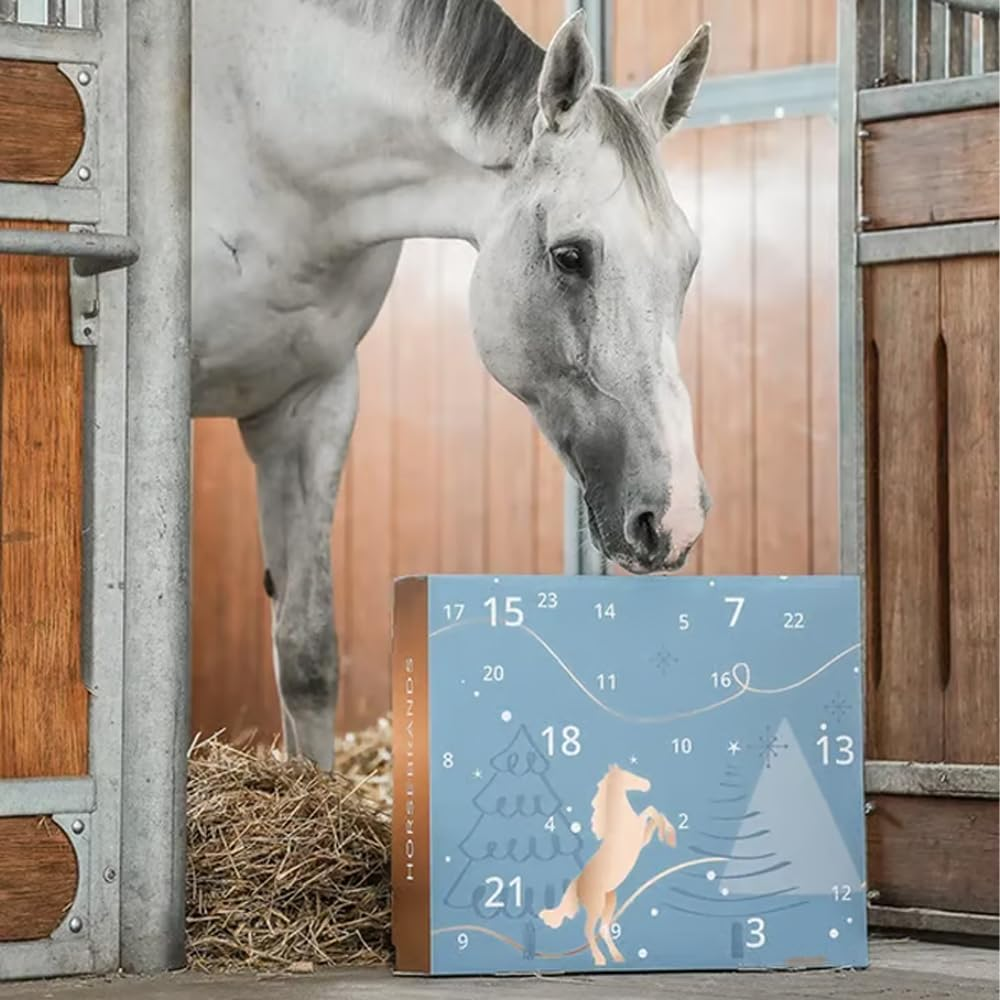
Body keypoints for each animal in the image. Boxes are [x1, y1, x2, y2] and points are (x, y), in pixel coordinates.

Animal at [191, 0, 712, 768]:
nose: (676, 518)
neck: (261, 137)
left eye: (688, 264)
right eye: (569, 255)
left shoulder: (310, 403)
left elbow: (306, 650)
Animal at [539, 764, 675, 965]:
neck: (620, 821)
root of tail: (577, 883)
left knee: (603, 929)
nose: (647, 784)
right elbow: (649, 812)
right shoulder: (637, 834)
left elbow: (653, 814)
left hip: (609, 901)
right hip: (596, 906)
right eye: (628, 775)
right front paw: (668, 835)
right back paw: (600, 959)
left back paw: (618, 957)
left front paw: (668, 835)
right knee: (589, 930)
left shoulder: (642, 840)